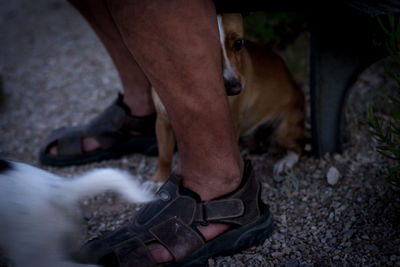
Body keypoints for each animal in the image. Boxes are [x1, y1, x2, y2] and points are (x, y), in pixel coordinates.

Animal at [152, 13, 304, 183]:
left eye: (239, 43)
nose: (235, 88)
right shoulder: (163, 120)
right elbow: (164, 155)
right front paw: (158, 181)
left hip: (283, 131)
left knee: (298, 147)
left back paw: (285, 162)